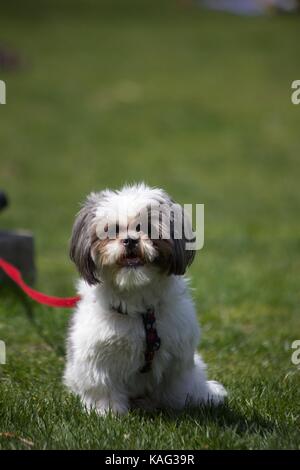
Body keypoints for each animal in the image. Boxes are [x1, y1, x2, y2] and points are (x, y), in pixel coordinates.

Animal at [63, 184, 227, 414]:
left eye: (147, 228)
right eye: (112, 230)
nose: (130, 239)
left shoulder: (177, 357)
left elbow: (174, 387)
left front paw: (178, 407)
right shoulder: (97, 356)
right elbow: (103, 387)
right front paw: (108, 412)